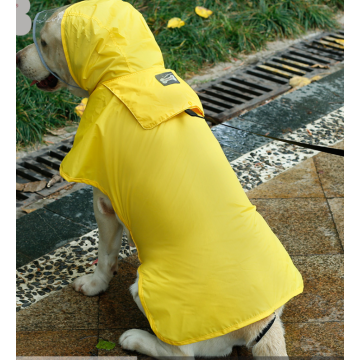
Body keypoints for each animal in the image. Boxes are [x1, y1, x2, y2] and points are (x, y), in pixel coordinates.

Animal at [16, 2, 300, 358]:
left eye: (42, 42)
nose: (16, 58)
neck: (129, 72)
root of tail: (262, 324)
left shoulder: (104, 204)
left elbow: (105, 256)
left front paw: (94, 285)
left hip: (146, 288)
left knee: (180, 352)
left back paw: (135, 338)